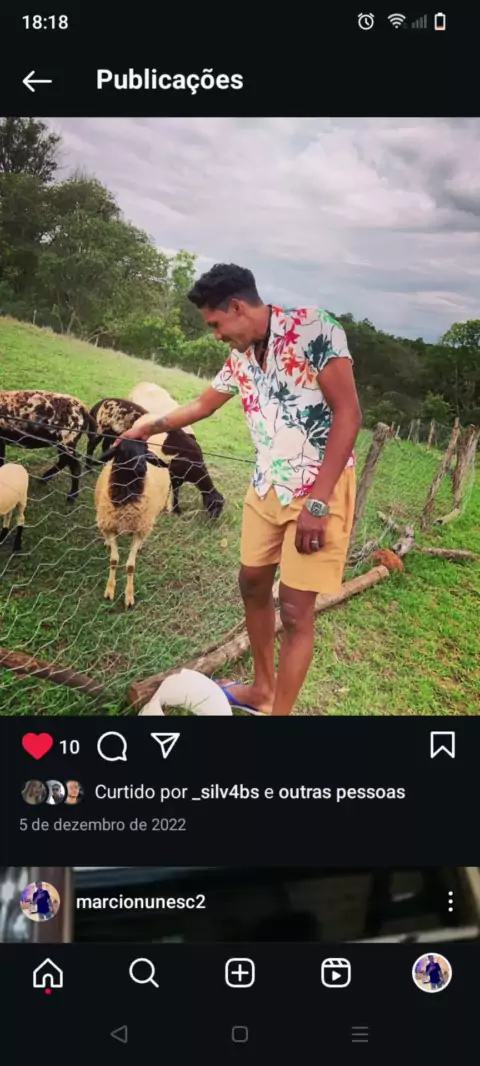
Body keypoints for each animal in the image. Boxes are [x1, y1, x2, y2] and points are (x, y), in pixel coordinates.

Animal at [86, 397, 224, 519]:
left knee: (105, 445)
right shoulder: (174, 473)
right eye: (215, 507)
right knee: (91, 446)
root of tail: (101, 402)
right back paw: (89, 469)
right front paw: (176, 510)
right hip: (100, 428)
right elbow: (174, 492)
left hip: (112, 433)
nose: (213, 520)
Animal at [94, 436, 173, 609]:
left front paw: (129, 597)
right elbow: (114, 560)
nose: (142, 466)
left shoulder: (139, 530)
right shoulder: (111, 526)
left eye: (145, 450)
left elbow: (130, 566)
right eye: (124, 450)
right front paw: (109, 590)